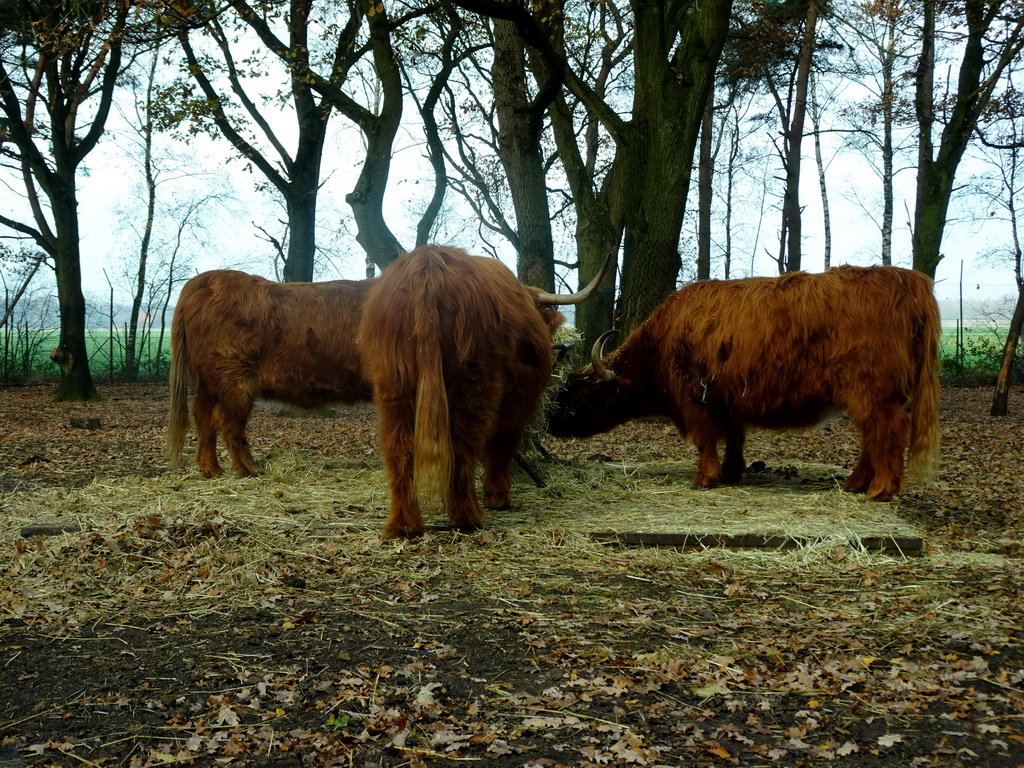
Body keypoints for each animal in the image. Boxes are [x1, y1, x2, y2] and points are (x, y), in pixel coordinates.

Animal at [165, 268, 374, 475]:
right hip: (234, 380)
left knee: (203, 416)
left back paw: (212, 469)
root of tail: (210, 278)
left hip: (209, 384)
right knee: (228, 423)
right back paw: (251, 468)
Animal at [548, 268, 937, 501]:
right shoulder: (729, 396)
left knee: (886, 430)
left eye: (579, 393)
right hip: (871, 396)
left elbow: (705, 439)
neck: (663, 341)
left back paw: (881, 489)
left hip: (871, 392)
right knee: (873, 435)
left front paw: (704, 478)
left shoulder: (695, 399)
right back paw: (856, 483)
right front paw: (731, 472)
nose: (550, 423)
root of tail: (907, 280)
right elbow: (735, 436)